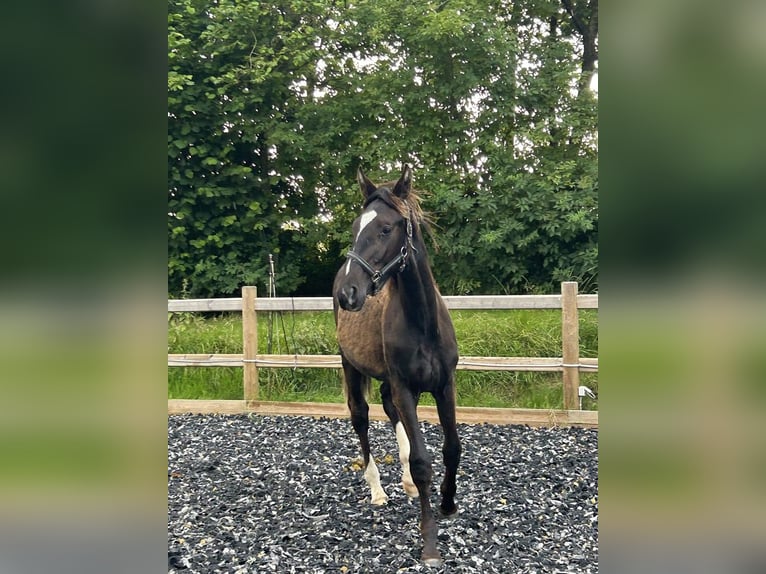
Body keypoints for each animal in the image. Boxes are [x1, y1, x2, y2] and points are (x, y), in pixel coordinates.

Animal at [332, 165, 462, 568]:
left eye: (386, 228)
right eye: (355, 226)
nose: (348, 293)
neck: (423, 322)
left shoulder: (444, 386)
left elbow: (452, 447)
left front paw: (448, 503)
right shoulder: (406, 386)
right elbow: (422, 461)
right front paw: (430, 544)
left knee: (390, 411)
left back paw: (403, 484)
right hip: (351, 366)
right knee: (360, 418)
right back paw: (377, 490)